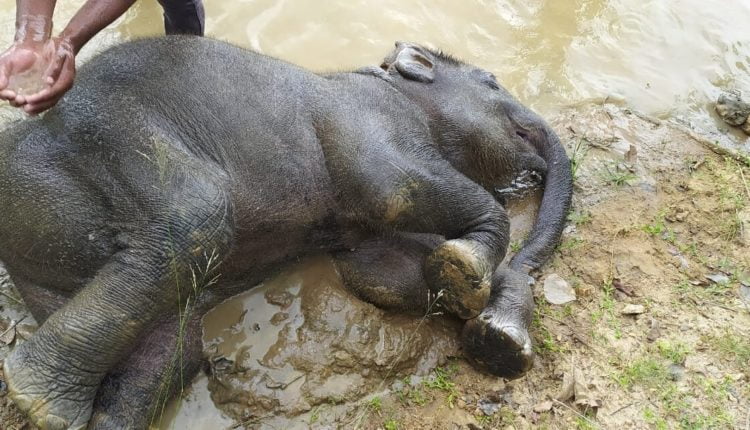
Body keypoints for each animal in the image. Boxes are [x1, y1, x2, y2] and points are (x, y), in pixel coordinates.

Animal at [0, 37, 572, 429]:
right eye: (492, 81)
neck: (390, 82)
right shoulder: (371, 118)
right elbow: (394, 188)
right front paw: (467, 270)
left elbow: (386, 276)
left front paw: (494, 335)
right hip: (117, 135)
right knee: (196, 219)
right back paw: (38, 396)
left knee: (167, 353)